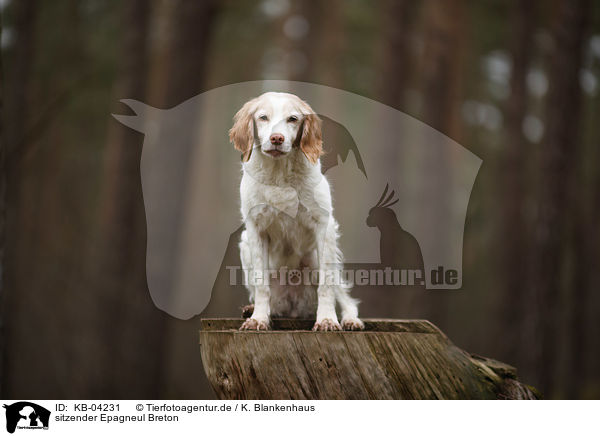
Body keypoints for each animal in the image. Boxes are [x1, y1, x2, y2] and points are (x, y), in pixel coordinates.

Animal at [229, 92, 364, 330]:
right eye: (263, 117)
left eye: (292, 119)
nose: (277, 138)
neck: (279, 174)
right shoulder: (255, 230)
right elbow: (261, 285)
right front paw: (258, 319)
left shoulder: (324, 226)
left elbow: (326, 286)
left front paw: (327, 319)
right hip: (244, 245)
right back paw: (252, 310)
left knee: (346, 299)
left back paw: (350, 319)